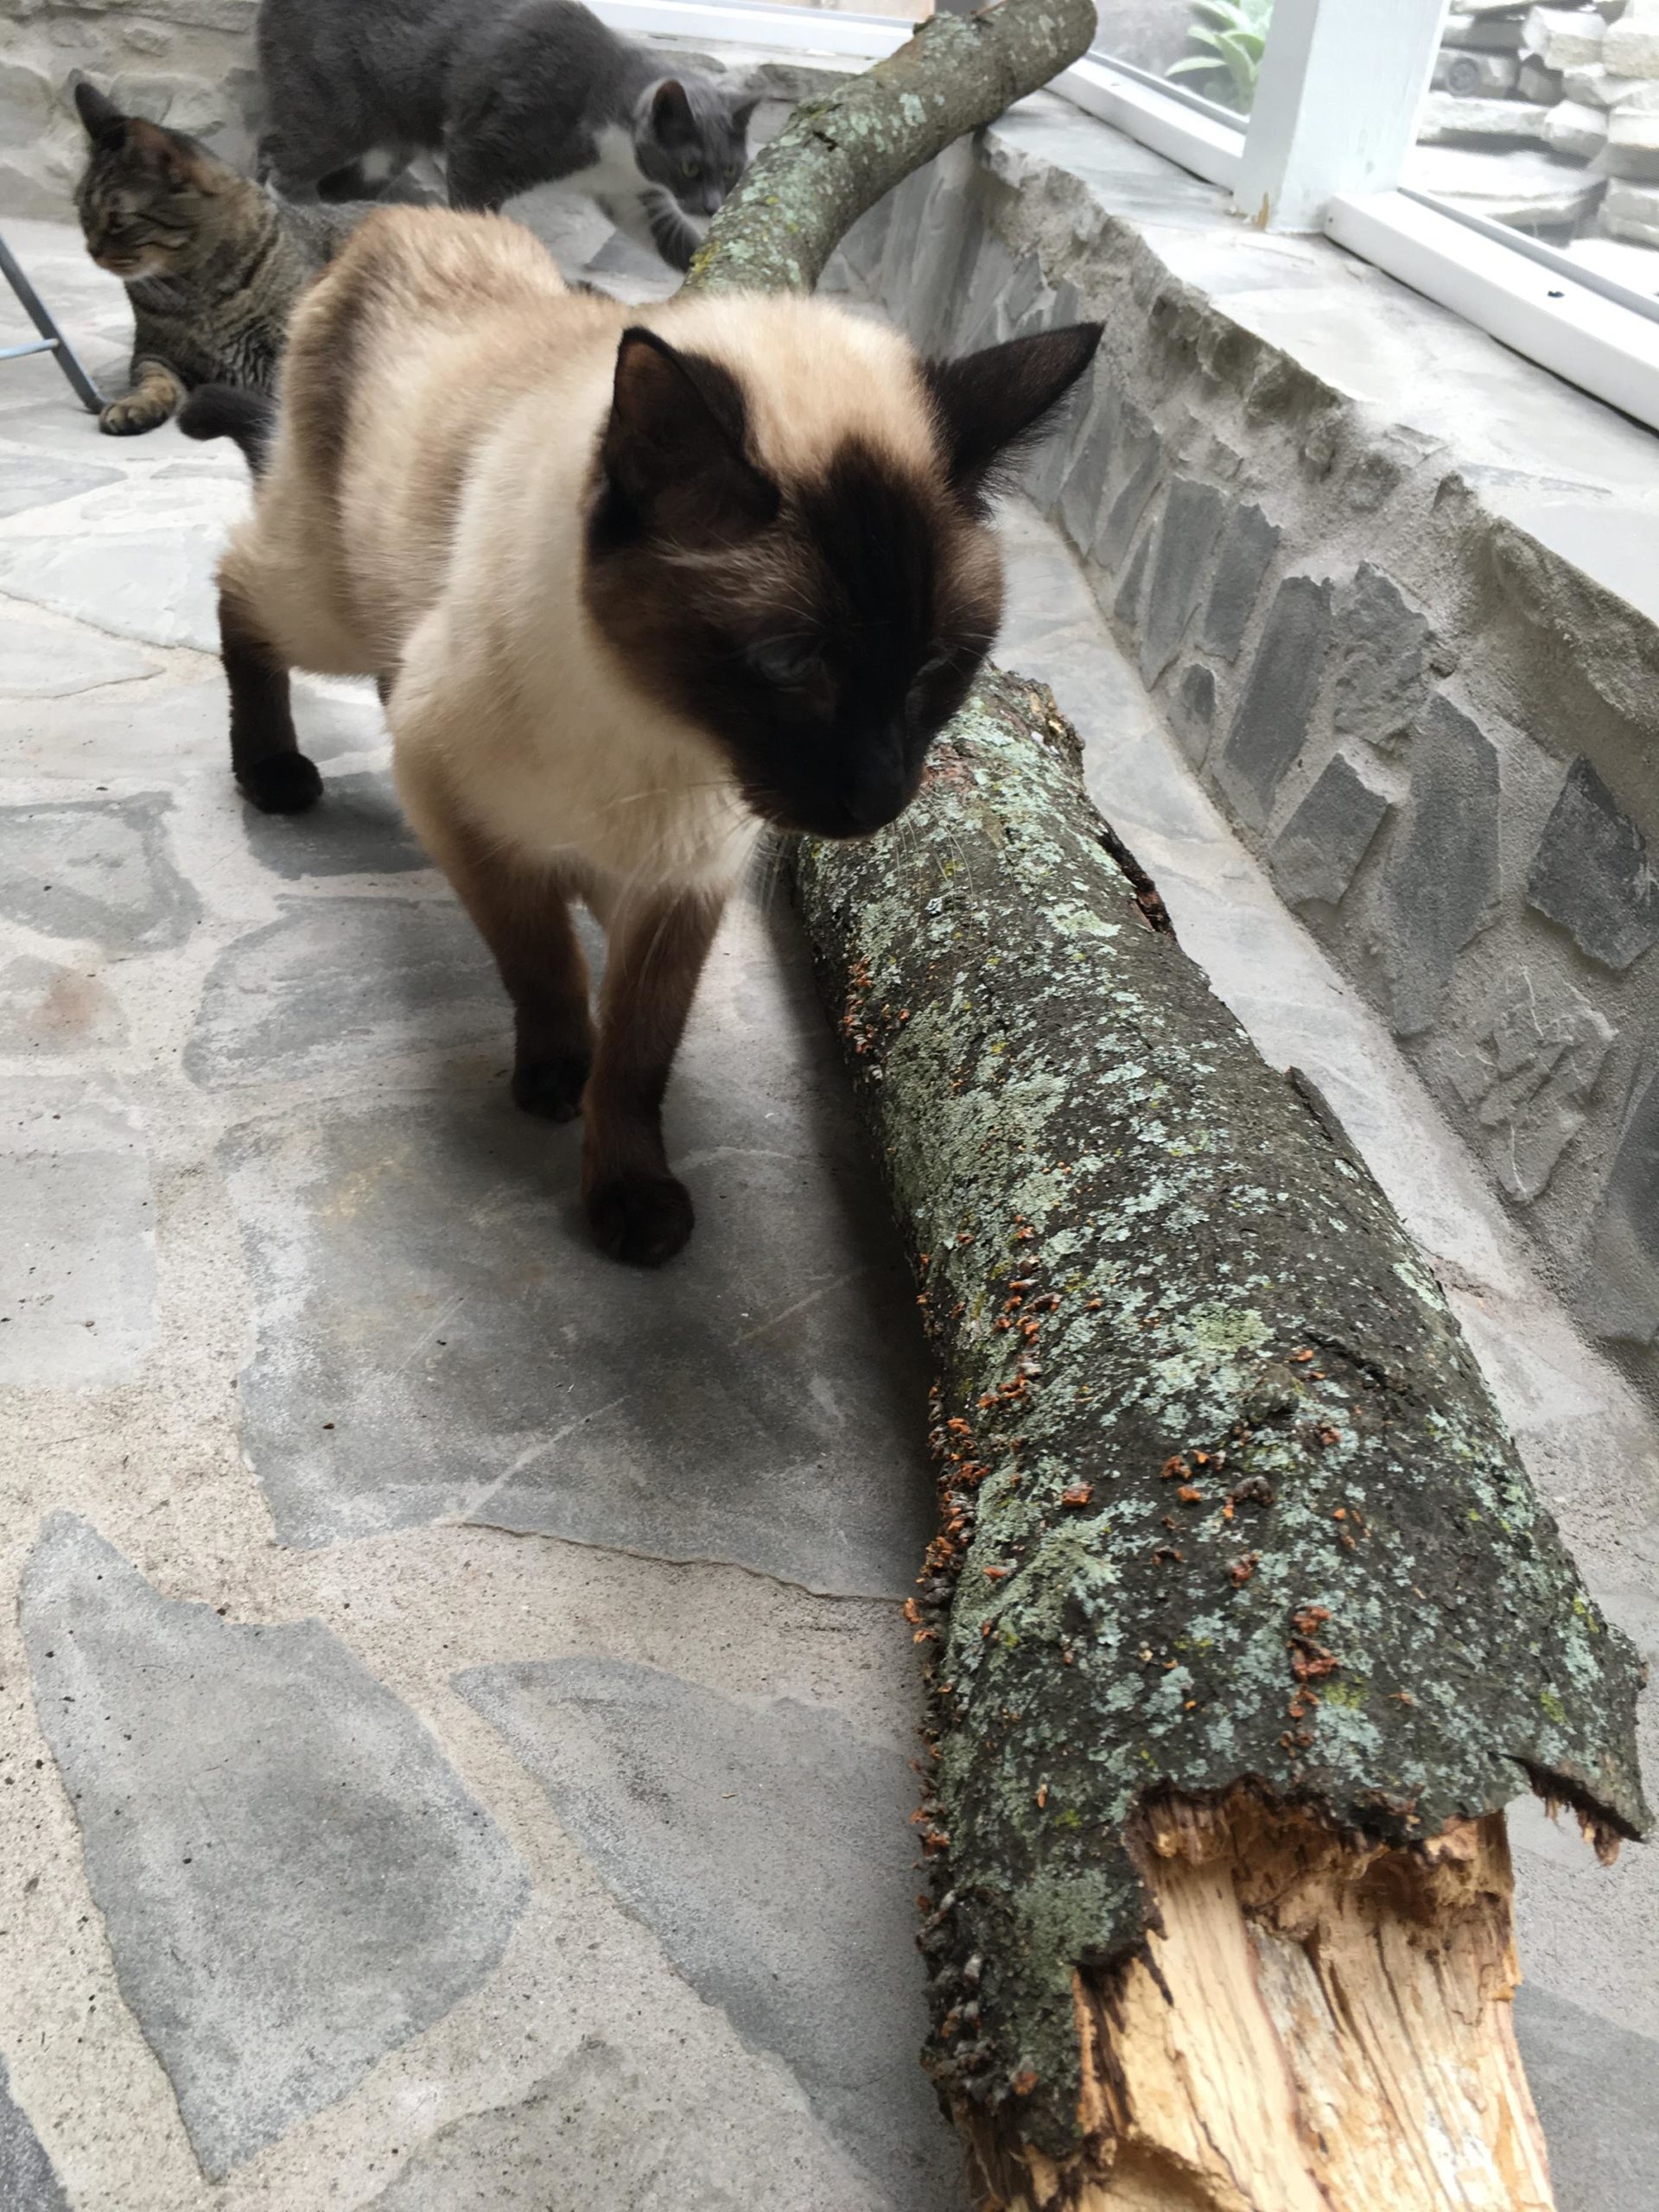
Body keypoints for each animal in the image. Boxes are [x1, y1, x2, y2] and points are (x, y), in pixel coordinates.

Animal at [73, 83, 369, 435]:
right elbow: (154, 380)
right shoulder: (155, 353)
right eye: (83, 213)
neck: (193, 288)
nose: (92, 250)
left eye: (118, 220)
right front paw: (134, 405)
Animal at [179, 215, 1106, 1274]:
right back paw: (271, 772)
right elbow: (543, 962)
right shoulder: (456, 805)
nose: (880, 797)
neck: (664, 736)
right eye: (791, 664)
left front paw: (629, 1192)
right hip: (328, 601)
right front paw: (555, 1077)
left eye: (934, 671)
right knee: (239, 584)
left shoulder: (683, 882)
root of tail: (407, 219)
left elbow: (637, 1058)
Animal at [258, 0, 760, 271]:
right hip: (334, 109)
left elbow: (671, 240)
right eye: (690, 166)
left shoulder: (630, 194)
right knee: (283, 163)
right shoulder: (486, 143)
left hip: (382, 153)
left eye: (731, 169)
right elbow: (473, 204)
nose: (712, 206)